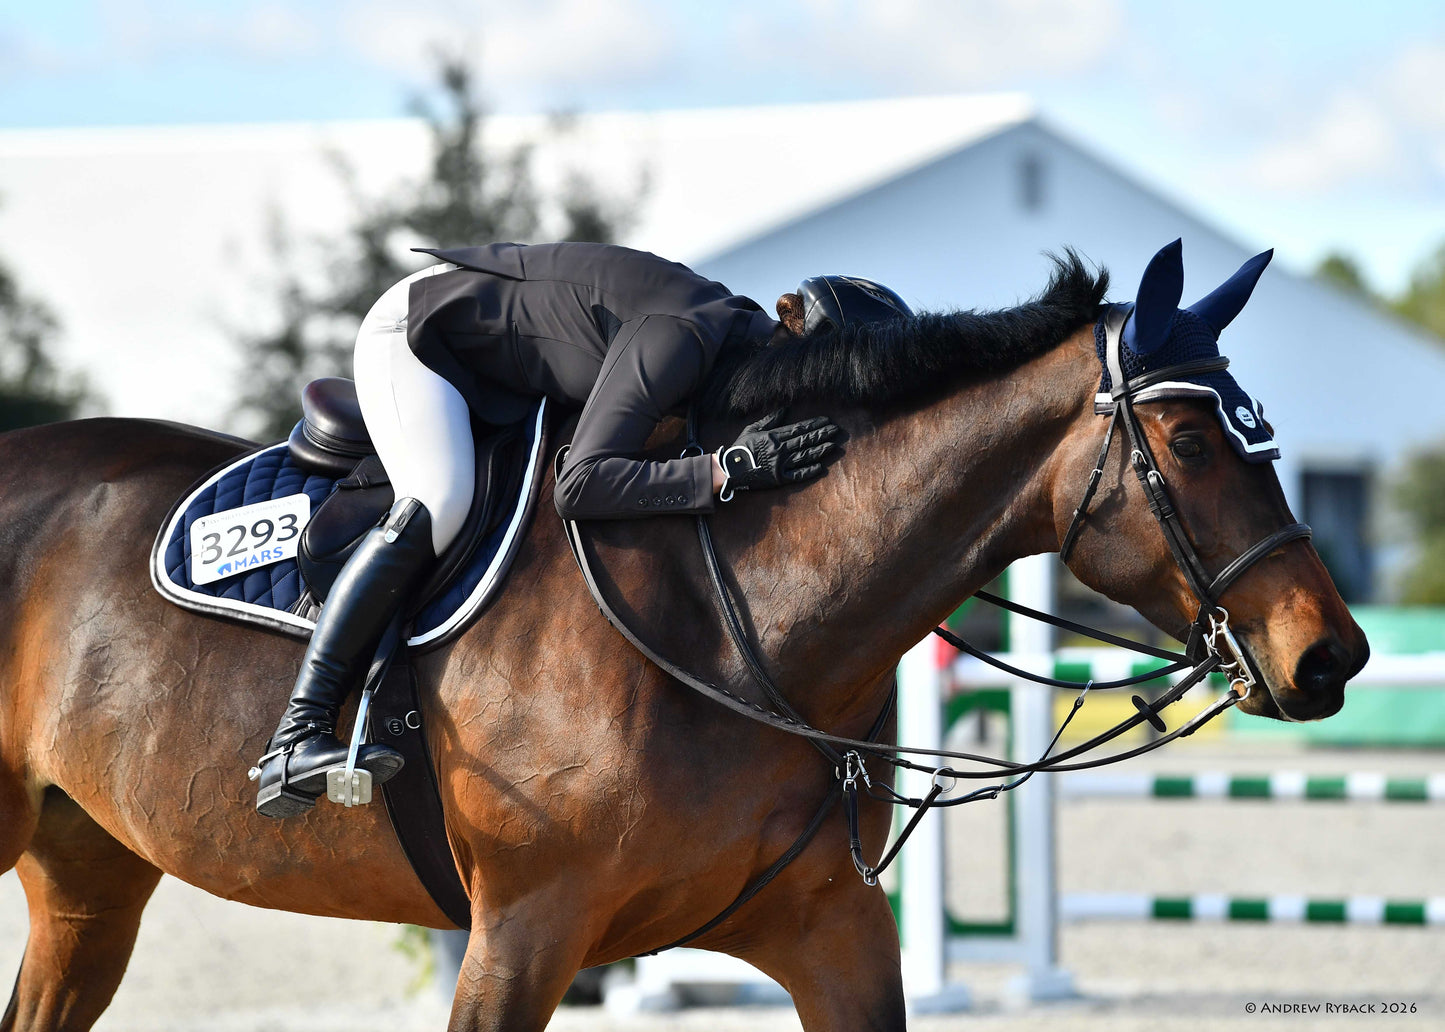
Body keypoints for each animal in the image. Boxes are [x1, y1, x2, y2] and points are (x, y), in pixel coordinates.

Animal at [0, 252, 1367, 1031]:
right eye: (1185, 441)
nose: (1329, 657)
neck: (739, 617)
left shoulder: (829, 933)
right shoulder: (521, 934)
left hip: (89, 873)